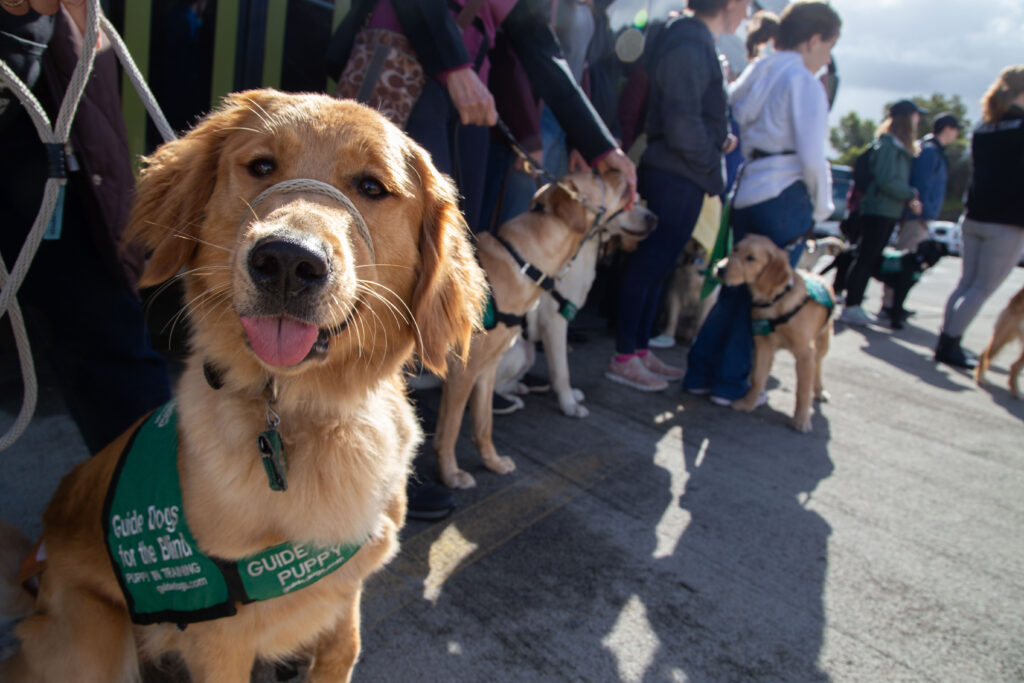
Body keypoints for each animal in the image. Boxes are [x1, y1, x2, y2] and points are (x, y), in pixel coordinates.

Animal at [1, 90, 487, 683]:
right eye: (261, 166)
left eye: (372, 187)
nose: (288, 260)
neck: (309, 411)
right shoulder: (220, 642)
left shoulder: (344, 597)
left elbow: (342, 648)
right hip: (95, 640)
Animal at [432, 174, 630, 489]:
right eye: (598, 176)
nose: (623, 172)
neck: (524, 264)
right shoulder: (462, 370)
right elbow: (449, 429)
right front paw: (451, 474)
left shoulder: (487, 367)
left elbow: (483, 423)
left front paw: (492, 462)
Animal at [716, 235, 835, 432]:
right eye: (735, 249)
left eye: (751, 258)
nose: (720, 268)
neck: (776, 300)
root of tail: (817, 275)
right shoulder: (763, 344)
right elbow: (758, 378)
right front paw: (748, 403)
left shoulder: (805, 352)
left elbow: (803, 390)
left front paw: (801, 419)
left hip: (823, 339)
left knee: (818, 364)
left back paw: (819, 390)